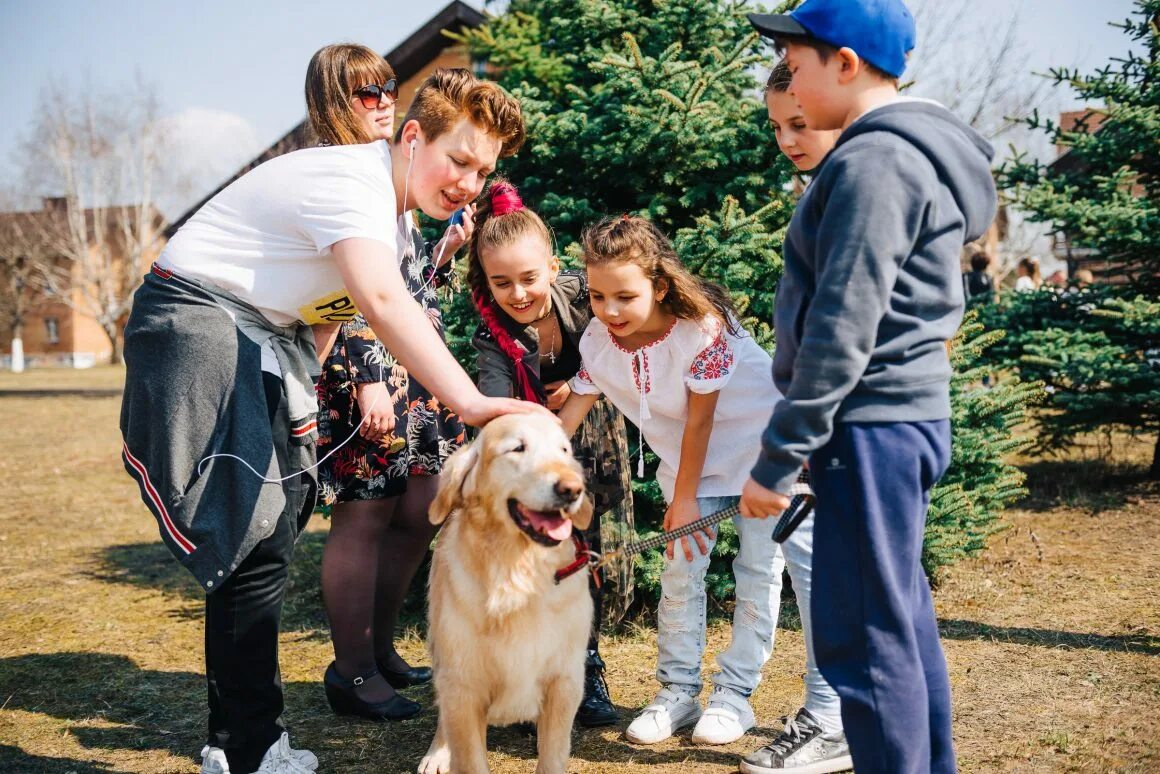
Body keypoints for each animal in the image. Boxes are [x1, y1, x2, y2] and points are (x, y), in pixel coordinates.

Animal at [419, 415, 598, 774]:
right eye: (518, 448)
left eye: (564, 450)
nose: (572, 488)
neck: (518, 573)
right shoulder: (463, 687)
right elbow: (470, 758)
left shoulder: (564, 682)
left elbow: (552, 758)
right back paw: (437, 753)